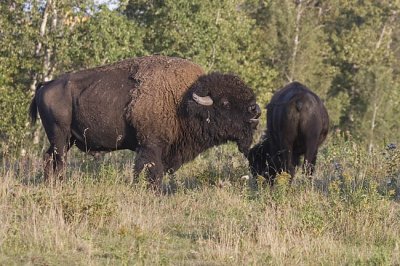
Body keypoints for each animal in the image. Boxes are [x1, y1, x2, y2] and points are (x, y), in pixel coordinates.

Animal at [28, 55, 262, 189]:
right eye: (225, 102)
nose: (256, 110)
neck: (182, 99)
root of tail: (47, 84)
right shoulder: (151, 146)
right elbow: (152, 171)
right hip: (60, 136)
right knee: (59, 161)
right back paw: (59, 185)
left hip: (63, 139)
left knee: (48, 158)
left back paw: (49, 185)